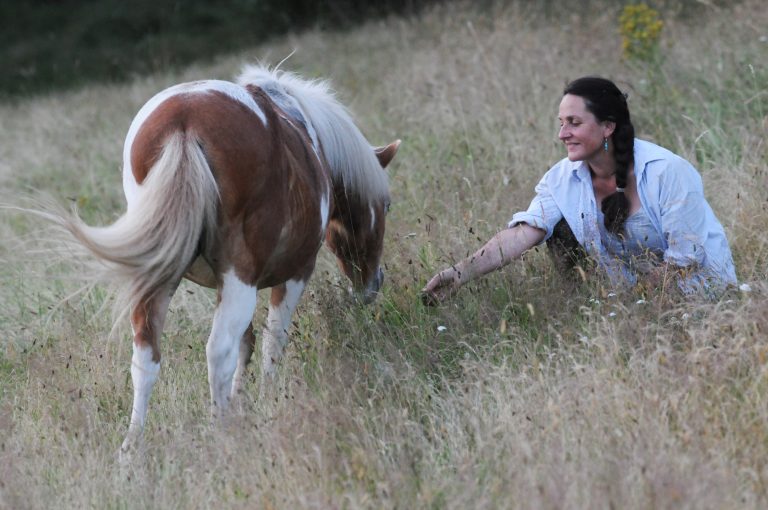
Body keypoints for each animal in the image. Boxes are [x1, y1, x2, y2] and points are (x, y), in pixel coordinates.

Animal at [46, 64, 399, 458]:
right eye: (385, 207)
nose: (374, 284)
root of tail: (184, 122)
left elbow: (247, 345)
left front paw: (242, 404)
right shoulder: (292, 274)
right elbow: (271, 341)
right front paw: (266, 403)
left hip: (161, 277)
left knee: (146, 356)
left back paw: (132, 448)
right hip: (238, 278)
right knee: (218, 351)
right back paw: (221, 432)